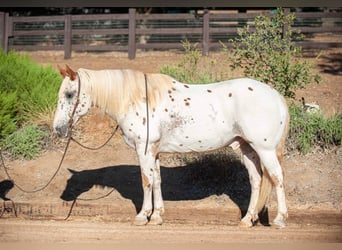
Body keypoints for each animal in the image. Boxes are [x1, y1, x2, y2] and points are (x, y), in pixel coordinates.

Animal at [52, 65, 288, 229]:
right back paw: (247, 220)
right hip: (248, 150)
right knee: (256, 181)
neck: (136, 99)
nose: (58, 129)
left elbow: (146, 181)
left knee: (277, 178)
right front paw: (157, 216)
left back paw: (279, 219)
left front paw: (142, 216)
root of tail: (276, 96)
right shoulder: (154, 152)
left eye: (69, 94)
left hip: (265, 150)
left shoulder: (144, 149)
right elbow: (157, 181)